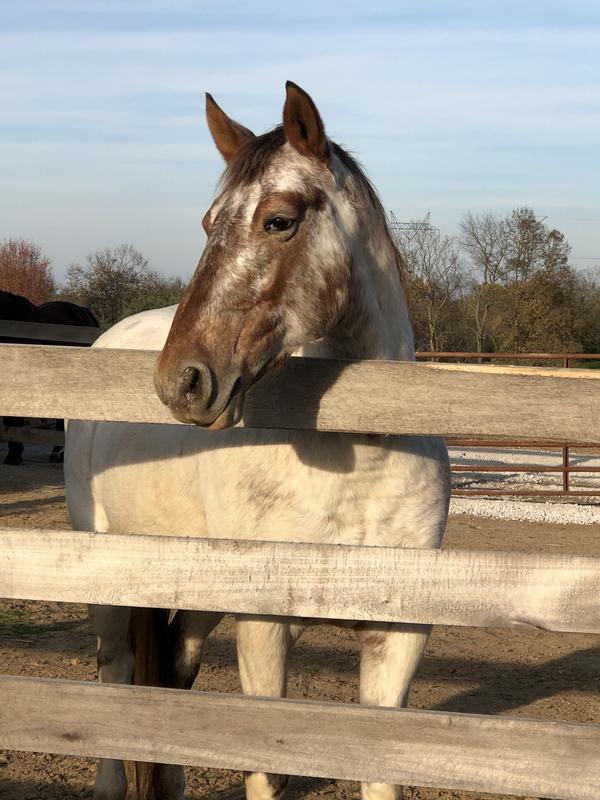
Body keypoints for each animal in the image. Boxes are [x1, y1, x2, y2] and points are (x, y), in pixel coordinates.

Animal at [65, 82, 450, 800]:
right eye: (207, 223)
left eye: (278, 221)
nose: (181, 380)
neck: (357, 468)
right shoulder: (266, 625)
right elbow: (265, 770)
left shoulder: (398, 634)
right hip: (109, 571)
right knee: (116, 670)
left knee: (173, 677)